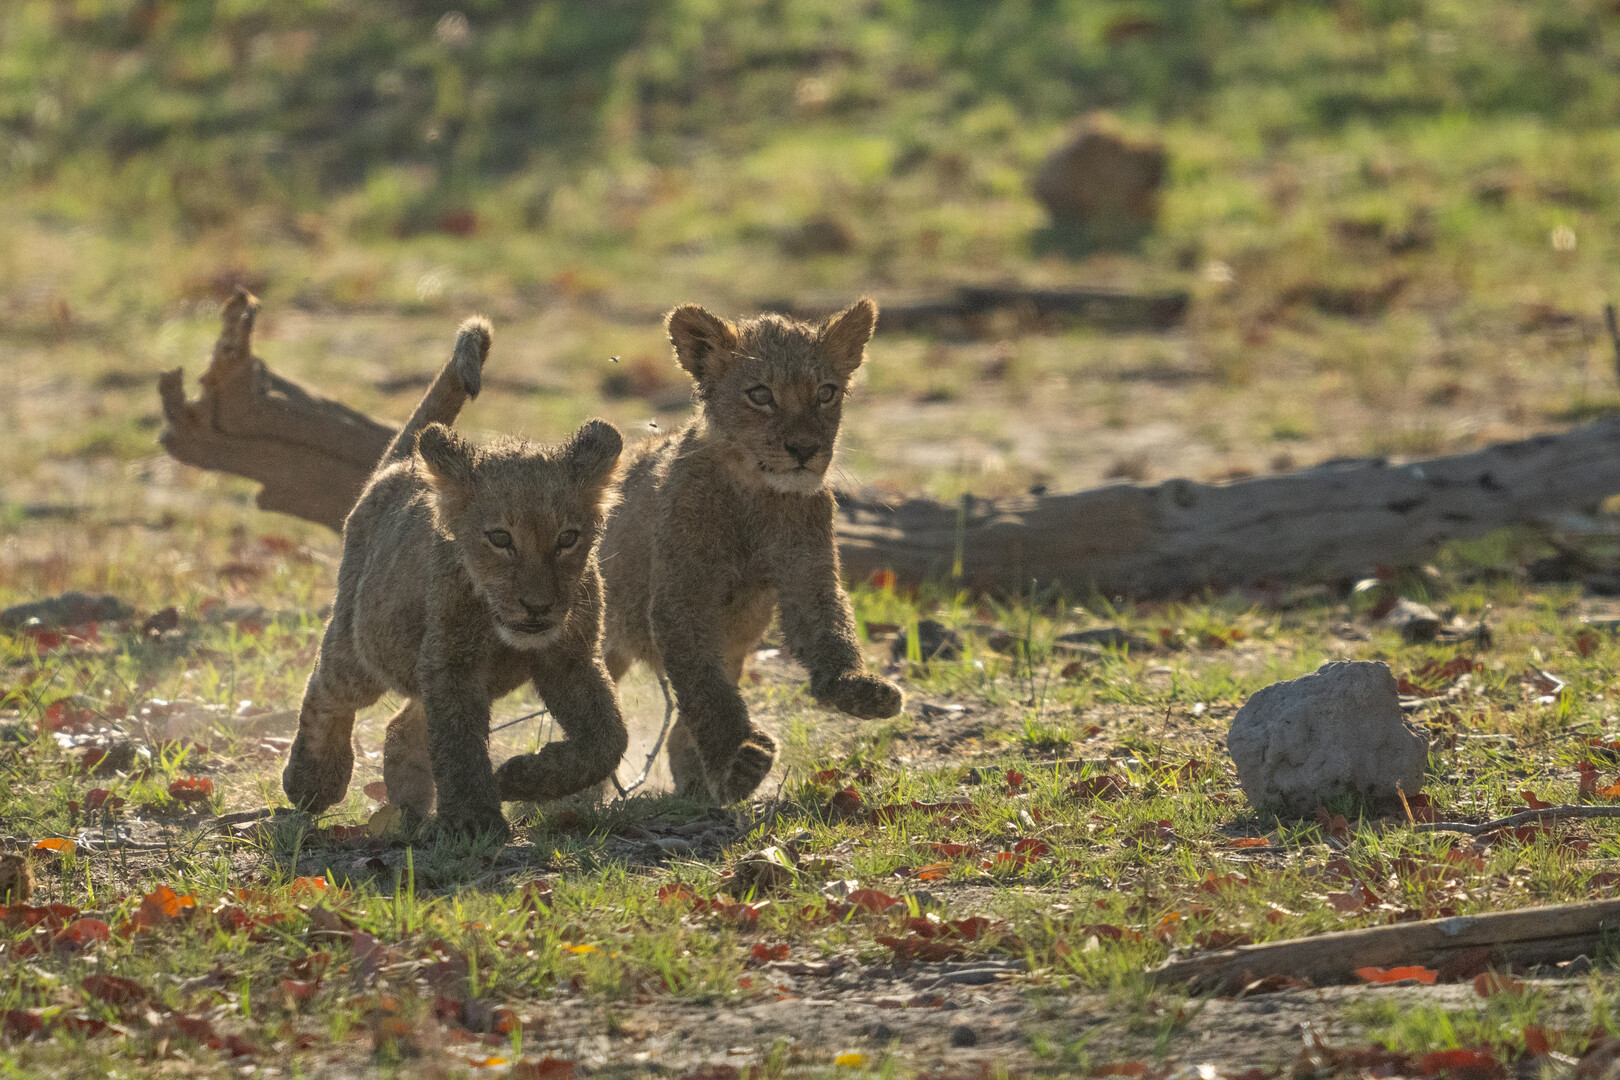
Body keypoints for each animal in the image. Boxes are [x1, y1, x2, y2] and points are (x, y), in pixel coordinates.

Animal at [281, 317, 628, 839]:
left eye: (568, 539)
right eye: (500, 538)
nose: (538, 606)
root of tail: (400, 464)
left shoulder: (571, 658)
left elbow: (608, 739)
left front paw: (520, 778)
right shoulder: (452, 663)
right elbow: (460, 746)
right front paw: (473, 819)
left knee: (403, 728)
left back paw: (407, 808)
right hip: (363, 646)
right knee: (326, 687)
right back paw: (313, 780)